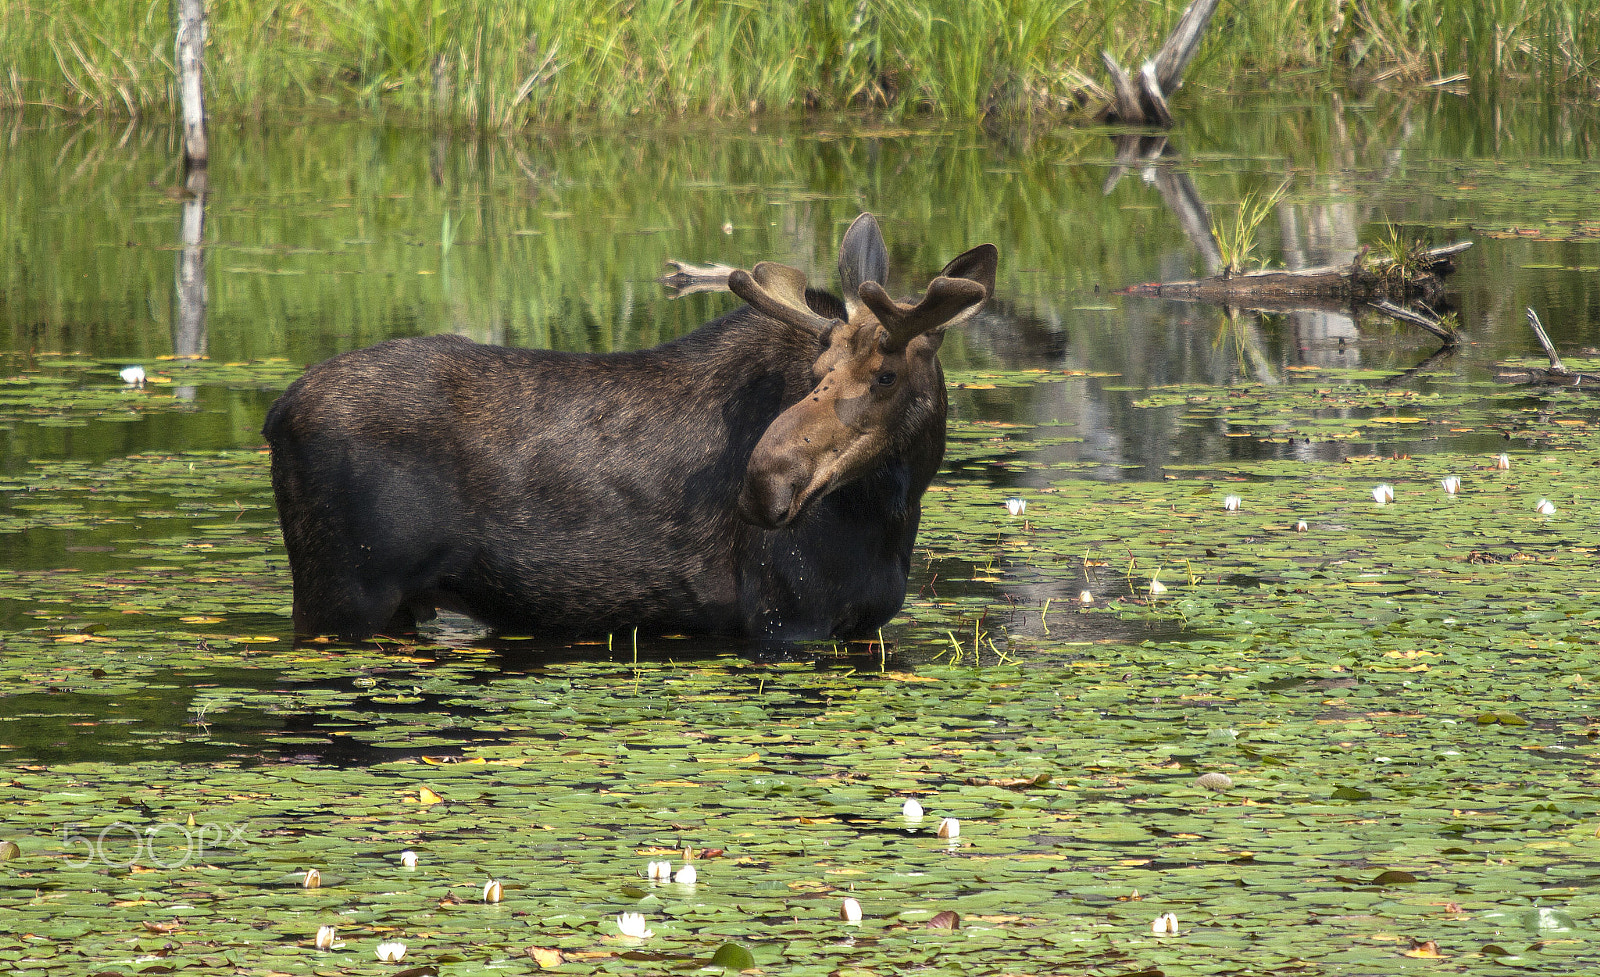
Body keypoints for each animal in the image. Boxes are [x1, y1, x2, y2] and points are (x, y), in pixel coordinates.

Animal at [264, 214, 992, 642]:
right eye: (818, 368)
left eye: (886, 376)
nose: (766, 483)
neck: (893, 512)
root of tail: (276, 415)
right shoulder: (788, 619)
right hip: (342, 597)